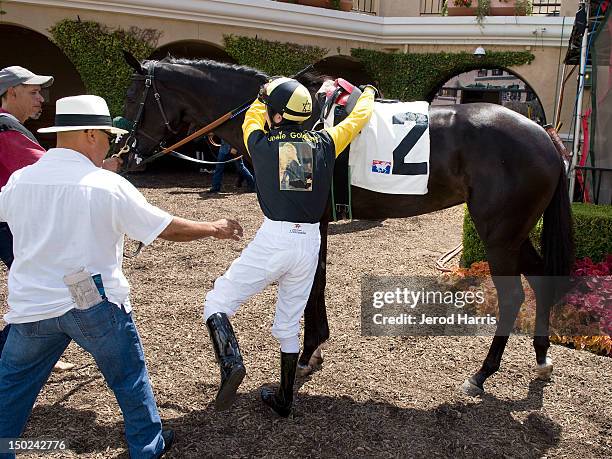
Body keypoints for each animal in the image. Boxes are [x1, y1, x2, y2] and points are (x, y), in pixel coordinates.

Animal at [120, 55, 572, 398]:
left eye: (133, 96)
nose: (125, 152)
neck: (295, 125)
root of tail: (543, 134)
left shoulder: (310, 217)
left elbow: (313, 282)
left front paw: (306, 354)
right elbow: (316, 279)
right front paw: (315, 351)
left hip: (498, 233)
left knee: (513, 296)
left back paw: (482, 374)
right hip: (515, 232)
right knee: (541, 278)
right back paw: (542, 358)